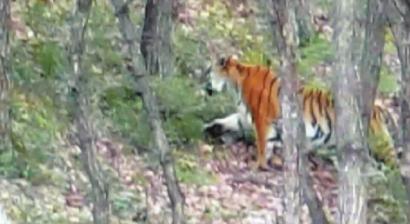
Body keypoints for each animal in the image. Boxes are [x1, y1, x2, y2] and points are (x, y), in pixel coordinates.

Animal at [203, 55, 398, 170]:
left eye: (208, 71)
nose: (202, 83)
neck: (234, 84)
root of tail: (379, 108)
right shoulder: (248, 116)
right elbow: (230, 120)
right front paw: (210, 127)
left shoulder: (261, 117)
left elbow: (262, 143)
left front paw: (259, 164)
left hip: (380, 144)